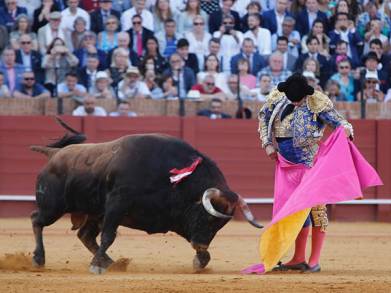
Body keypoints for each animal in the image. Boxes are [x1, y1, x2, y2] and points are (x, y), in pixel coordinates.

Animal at [30, 117, 264, 272]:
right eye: (208, 218)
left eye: (219, 225)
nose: (201, 244)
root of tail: (54, 154)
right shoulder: (116, 204)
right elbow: (109, 235)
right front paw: (96, 266)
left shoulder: (174, 218)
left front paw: (200, 260)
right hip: (53, 206)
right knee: (37, 220)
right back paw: (40, 259)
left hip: (93, 213)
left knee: (85, 235)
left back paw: (110, 262)